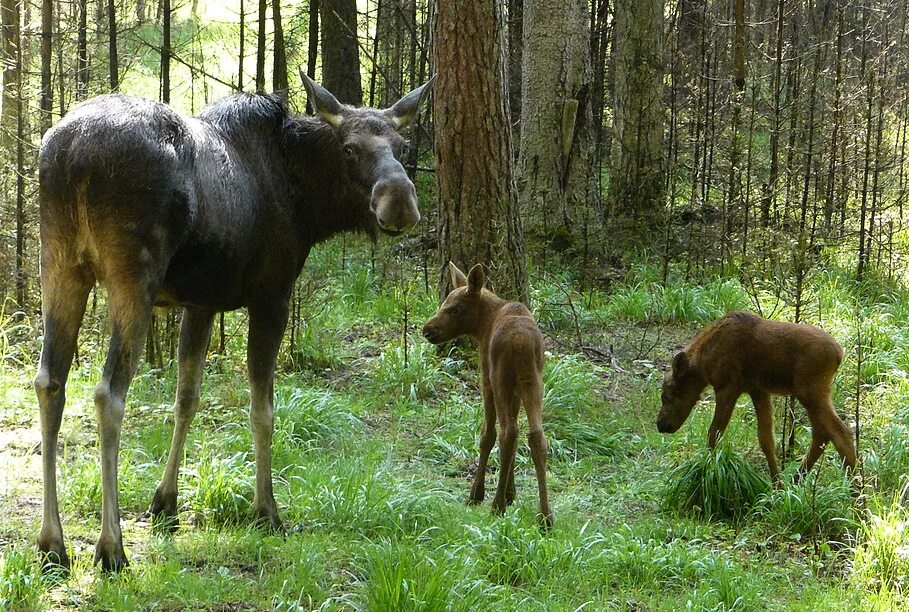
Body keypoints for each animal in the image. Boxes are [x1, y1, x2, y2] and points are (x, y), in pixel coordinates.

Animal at [35, 74, 432, 572]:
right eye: (349, 148)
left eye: (402, 144)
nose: (400, 204)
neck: (307, 203)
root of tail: (71, 155)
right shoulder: (272, 295)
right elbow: (263, 410)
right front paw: (266, 508)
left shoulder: (200, 302)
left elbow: (186, 399)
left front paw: (166, 501)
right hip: (132, 277)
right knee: (109, 393)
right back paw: (112, 547)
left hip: (60, 265)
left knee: (50, 382)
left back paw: (51, 542)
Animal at [420, 262, 552, 524]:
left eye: (455, 309)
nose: (427, 330)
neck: (482, 327)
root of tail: (520, 343)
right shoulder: (517, 391)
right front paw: (511, 493)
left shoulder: (486, 380)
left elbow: (486, 435)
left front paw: (478, 493)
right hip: (533, 383)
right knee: (536, 436)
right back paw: (545, 516)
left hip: (500, 380)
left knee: (507, 433)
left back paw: (496, 505)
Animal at [656, 314, 856, 486]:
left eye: (666, 395)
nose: (660, 424)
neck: (704, 363)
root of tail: (839, 354)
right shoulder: (758, 390)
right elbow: (766, 439)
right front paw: (776, 486)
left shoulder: (727, 387)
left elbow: (714, 432)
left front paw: (707, 469)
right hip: (813, 394)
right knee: (822, 434)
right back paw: (796, 481)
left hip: (810, 391)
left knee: (841, 433)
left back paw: (856, 493)